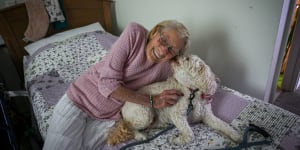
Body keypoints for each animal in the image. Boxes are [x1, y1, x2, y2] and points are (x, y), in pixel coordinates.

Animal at [106, 54, 240, 145]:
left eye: (187, 59)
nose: (176, 56)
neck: (192, 93)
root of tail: (123, 108)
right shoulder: (177, 115)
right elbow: (190, 135)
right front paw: (176, 139)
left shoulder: (207, 116)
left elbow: (224, 125)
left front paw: (236, 136)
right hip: (144, 112)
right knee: (130, 127)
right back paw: (140, 136)